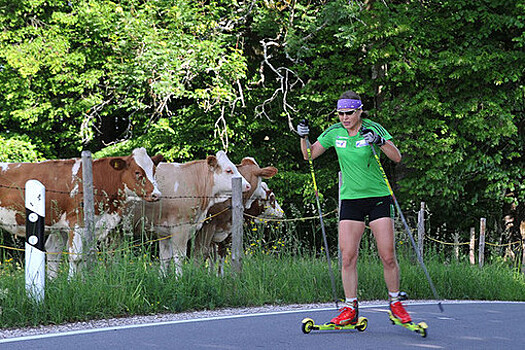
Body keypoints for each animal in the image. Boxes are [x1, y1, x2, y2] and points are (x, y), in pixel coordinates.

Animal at [0, 146, 160, 278]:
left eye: (154, 171)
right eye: (137, 172)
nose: (157, 194)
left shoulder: (62, 226)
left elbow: (57, 253)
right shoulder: (76, 222)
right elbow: (76, 256)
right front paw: (72, 283)